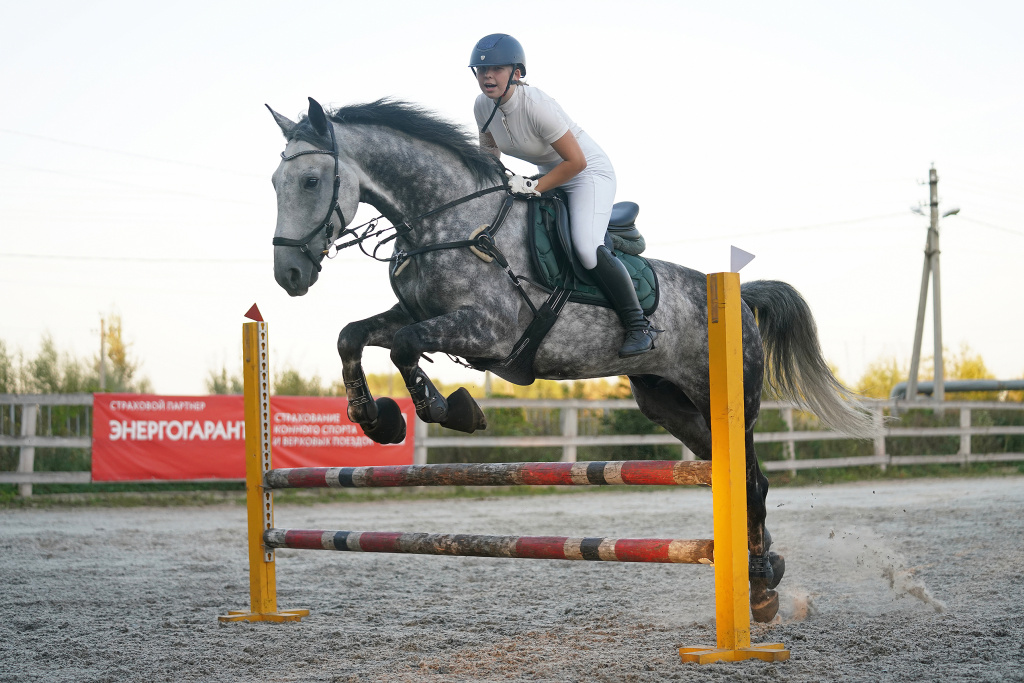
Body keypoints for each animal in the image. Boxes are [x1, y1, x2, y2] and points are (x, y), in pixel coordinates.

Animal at [266, 96, 872, 626]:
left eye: (311, 181)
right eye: (275, 182)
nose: (288, 276)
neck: (450, 223)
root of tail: (740, 296)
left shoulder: (487, 330)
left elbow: (404, 348)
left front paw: (449, 408)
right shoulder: (413, 313)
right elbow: (352, 337)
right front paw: (376, 420)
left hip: (727, 400)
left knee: (753, 483)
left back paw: (761, 587)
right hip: (669, 405)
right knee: (741, 480)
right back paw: (765, 572)